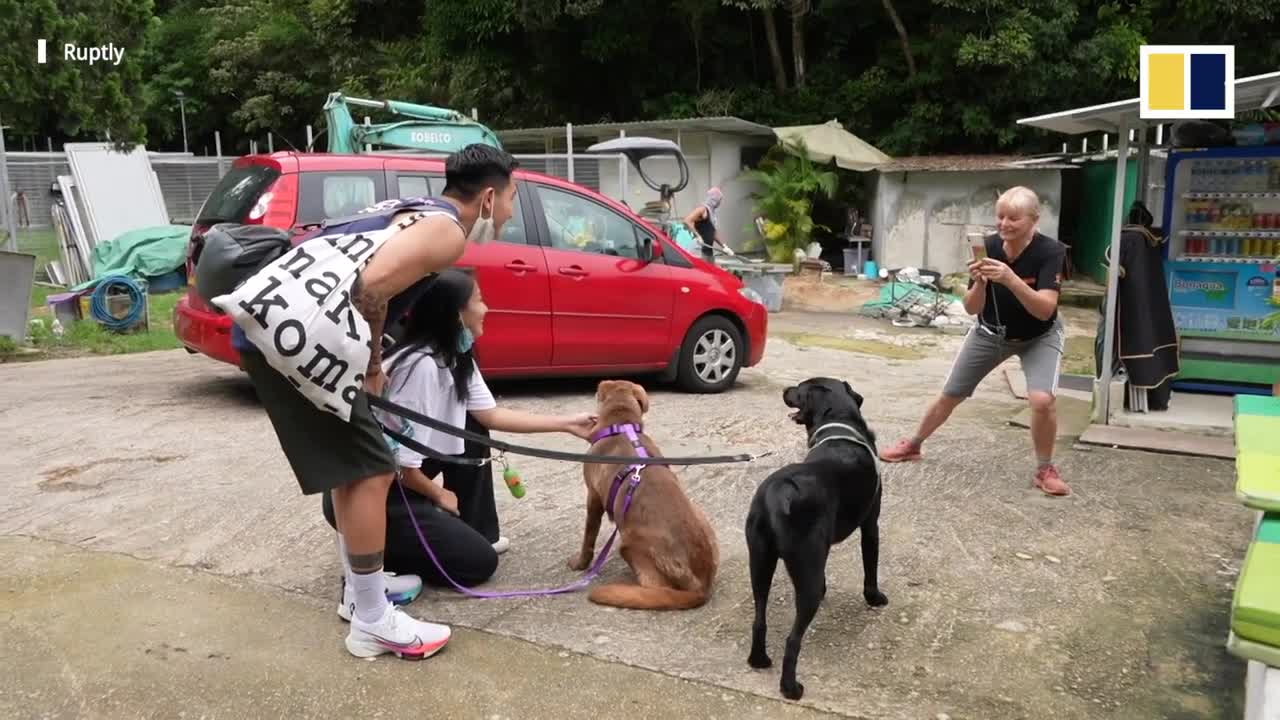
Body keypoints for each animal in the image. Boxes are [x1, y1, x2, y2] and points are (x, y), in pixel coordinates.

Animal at [570, 379, 721, 607]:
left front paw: (580, 564)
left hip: (630, 545)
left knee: (656, 588)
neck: (622, 426)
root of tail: (700, 589)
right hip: (701, 516)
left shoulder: (593, 497)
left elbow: (589, 537)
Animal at [747, 376, 885, 696]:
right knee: (793, 640)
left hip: (759, 563)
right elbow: (870, 566)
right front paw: (874, 598)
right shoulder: (871, 524)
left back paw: (758, 660)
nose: (785, 389)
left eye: (799, 390)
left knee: (759, 620)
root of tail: (779, 492)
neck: (840, 424)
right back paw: (790, 688)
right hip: (806, 572)